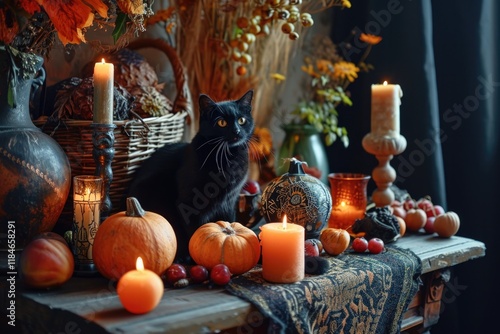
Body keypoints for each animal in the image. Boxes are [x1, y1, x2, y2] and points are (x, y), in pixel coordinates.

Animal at [126, 90, 254, 262]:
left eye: (242, 120)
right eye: (222, 123)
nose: (237, 131)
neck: (229, 156)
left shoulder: (229, 201)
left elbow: (230, 220)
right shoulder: (191, 203)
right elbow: (195, 231)